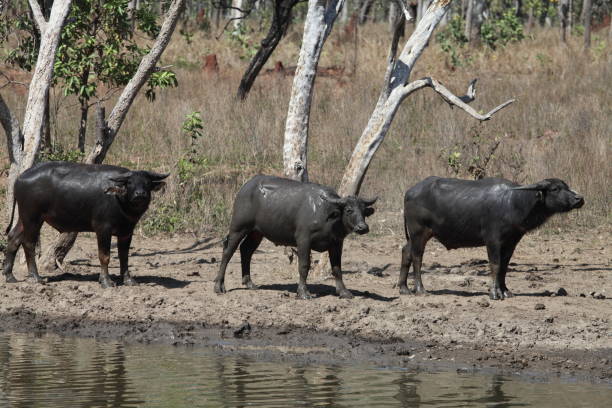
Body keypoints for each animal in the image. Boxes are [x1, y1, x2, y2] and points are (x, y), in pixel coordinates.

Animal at [4, 162, 170, 286]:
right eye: (130, 183)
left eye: (147, 183)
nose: (140, 194)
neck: (119, 200)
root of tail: (20, 178)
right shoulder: (103, 229)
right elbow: (105, 256)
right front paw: (106, 281)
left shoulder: (126, 232)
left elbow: (124, 256)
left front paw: (129, 280)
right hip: (32, 217)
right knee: (28, 243)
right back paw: (36, 277)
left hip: (24, 218)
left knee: (14, 238)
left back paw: (9, 276)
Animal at [215, 175, 378, 300]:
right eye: (349, 210)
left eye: (363, 211)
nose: (363, 228)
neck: (327, 216)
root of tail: (245, 187)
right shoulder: (304, 240)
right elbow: (304, 266)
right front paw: (303, 292)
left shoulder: (337, 243)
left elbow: (337, 269)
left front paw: (344, 292)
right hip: (238, 227)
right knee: (228, 251)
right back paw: (219, 286)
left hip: (257, 232)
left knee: (246, 250)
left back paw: (249, 283)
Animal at [400, 178, 584, 300]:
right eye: (555, 189)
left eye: (566, 186)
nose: (579, 199)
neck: (513, 203)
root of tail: (409, 192)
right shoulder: (492, 240)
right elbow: (495, 265)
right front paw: (495, 293)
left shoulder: (511, 242)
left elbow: (504, 267)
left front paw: (506, 291)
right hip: (419, 232)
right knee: (417, 257)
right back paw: (420, 289)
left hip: (417, 235)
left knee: (405, 252)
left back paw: (403, 288)